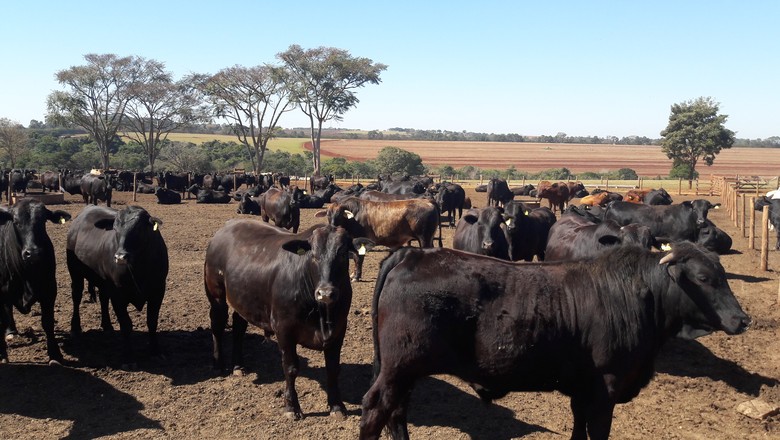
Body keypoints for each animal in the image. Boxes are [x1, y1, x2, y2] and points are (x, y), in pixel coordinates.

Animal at [0, 200, 70, 364]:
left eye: (43, 220)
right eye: (16, 222)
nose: (33, 253)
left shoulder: (50, 290)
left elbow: (48, 322)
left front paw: (55, 354)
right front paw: (2, 355)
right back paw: (11, 331)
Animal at [66, 205, 168, 368]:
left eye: (139, 228)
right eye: (115, 229)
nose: (120, 257)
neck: (139, 267)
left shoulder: (158, 291)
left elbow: (152, 322)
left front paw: (155, 351)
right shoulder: (118, 295)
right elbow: (126, 325)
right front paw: (128, 358)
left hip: (102, 281)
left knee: (103, 298)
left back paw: (107, 325)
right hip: (75, 273)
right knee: (76, 296)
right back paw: (75, 328)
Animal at [360, 242, 748, 438]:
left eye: (722, 274)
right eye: (703, 277)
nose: (742, 319)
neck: (631, 293)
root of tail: (412, 254)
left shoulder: (582, 387)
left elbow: (578, 428)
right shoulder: (605, 388)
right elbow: (596, 431)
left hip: (406, 372)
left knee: (397, 414)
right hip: (398, 369)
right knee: (377, 410)